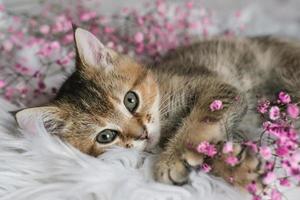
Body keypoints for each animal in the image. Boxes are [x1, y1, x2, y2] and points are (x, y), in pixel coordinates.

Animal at [15, 27, 300, 189]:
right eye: (106, 136)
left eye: (131, 100)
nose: (141, 133)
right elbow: (212, 149)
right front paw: (244, 171)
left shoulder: (219, 88)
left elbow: (201, 122)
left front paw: (173, 158)